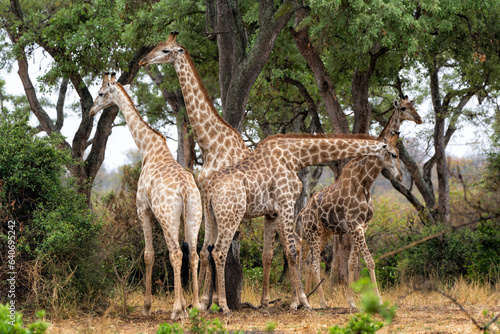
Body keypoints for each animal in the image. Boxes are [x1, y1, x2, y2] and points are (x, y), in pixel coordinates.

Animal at [90, 73, 201, 320]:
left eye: (101, 93)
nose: (91, 111)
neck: (148, 148)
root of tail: (185, 189)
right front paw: (183, 305)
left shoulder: (143, 209)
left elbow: (148, 254)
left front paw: (147, 306)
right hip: (194, 216)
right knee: (193, 254)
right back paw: (197, 307)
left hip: (168, 217)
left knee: (175, 253)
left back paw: (176, 310)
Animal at [140, 32, 250, 292]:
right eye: (158, 45)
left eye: (166, 50)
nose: (143, 60)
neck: (211, 144)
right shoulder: (204, 194)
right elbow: (204, 249)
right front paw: (199, 296)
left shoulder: (211, 195)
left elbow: (208, 249)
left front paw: (206, 297)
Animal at [203, 133, 390, 314]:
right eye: (391, 153)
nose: (393, 172)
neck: (294, 156)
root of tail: (210, 190)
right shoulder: (286, 203)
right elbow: (292, 252)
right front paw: (303, 302)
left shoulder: (272, 213)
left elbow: (269, 254)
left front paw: (266, 302)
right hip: (231, 215)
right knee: (219, 252)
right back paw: (223, 305)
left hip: (212, 219)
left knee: (206, 251)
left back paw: (205, 303)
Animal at [296, 132, 402, 310]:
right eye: (393, 154)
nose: (400, 176)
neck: (364, 184)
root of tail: (303, 212)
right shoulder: (356, 226)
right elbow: (370, 261)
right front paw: (379, 301)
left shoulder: (361, 227)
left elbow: (351, 264)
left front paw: (352, 302)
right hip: (313, 232)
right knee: (315, 263)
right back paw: (322, 303)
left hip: (324, 233)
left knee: (309, 261)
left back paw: (308, 301)